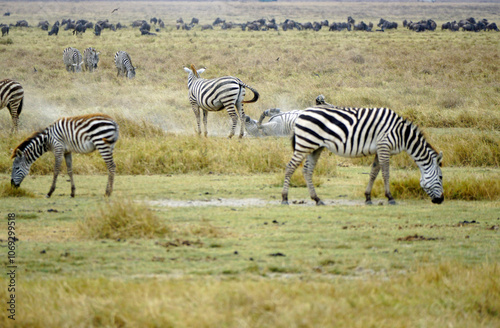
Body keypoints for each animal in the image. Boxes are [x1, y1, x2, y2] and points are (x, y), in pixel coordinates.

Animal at [282, 105, 446, 205]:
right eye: (441, 177)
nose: (441, 200)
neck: (402, 134)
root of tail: (302, 113)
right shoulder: (384, 146)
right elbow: (386, 173)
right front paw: (390, 197)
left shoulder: (379, 150)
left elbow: (373, 173)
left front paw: (368, 197)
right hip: (305, 143)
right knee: (290, 167)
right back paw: (285, 198)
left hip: (315, 147)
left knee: (307, 170)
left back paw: (317, 199)